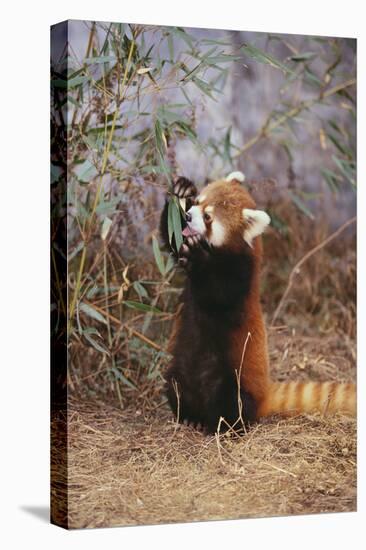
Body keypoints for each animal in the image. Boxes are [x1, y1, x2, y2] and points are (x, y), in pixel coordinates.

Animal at [159, 175, 354, 434]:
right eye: (198, 202)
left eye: (208, 217)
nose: (190, 215)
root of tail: (264, 397)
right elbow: (172, 236)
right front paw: (182, 191)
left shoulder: (243, 274)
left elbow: (219, 293)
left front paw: (198, 255)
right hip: (180, 368)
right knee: (175, 384)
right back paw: (191, 417)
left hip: (234, 379)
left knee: (231, 401)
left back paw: (224, 427)